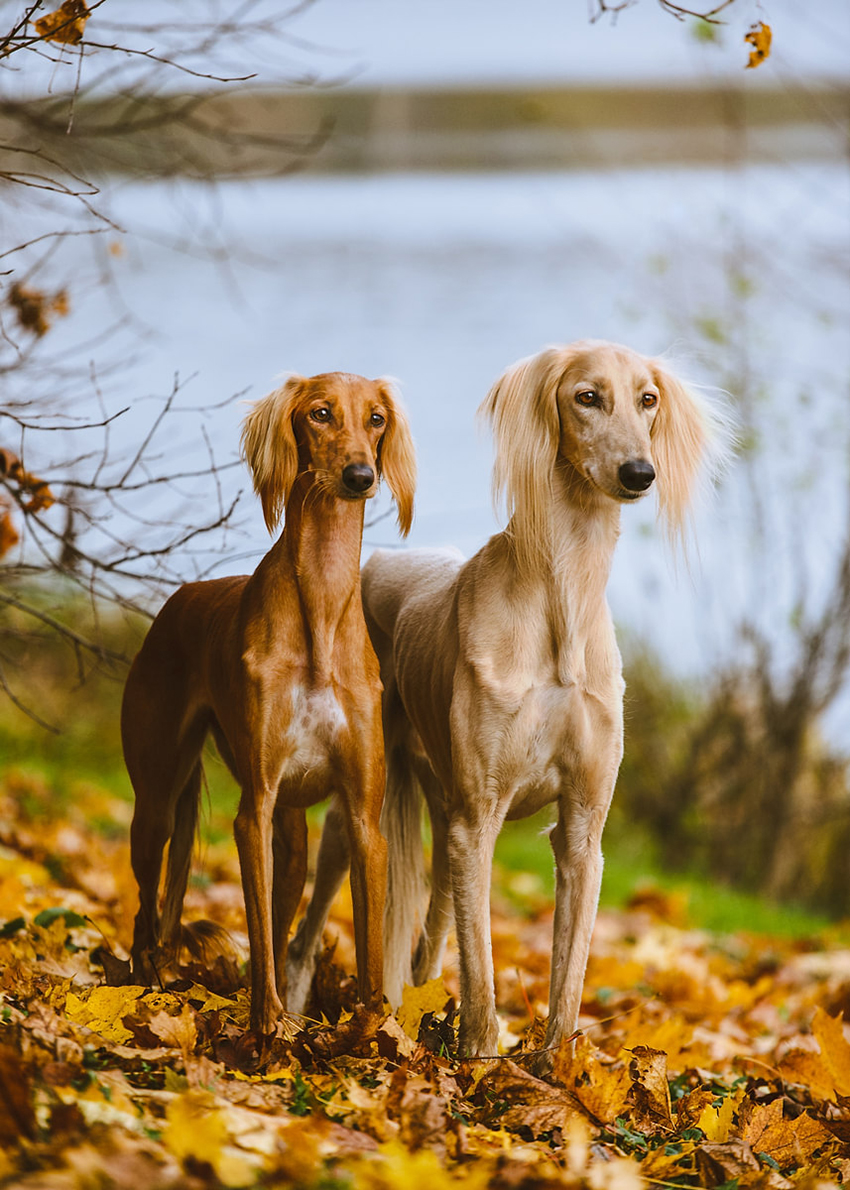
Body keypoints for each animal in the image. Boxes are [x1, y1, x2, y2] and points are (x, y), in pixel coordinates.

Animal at [121, 368, 416, 1032]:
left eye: (377, 418)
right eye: (320, 413)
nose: (360, 476)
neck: (322, 610)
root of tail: (181, 595)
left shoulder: (364, 821)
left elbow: (365, 954)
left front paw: (366, 1035)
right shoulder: (252, 809)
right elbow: (257, 937)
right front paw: (267, 1030)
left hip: (294, 838)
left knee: (276, 925)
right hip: (156, 805)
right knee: (148, 913)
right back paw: (144, 985)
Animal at [288, 342, 719, 1061]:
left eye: (648, 399)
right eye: (587, 397)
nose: (639, 474)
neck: (562, 602)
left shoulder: (583, 831)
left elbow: (567, 978)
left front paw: (553, 1071)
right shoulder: (478, 819)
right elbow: (483, 965)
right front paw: (484, 1061)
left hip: (437, 817)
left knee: (428, 944)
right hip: (365, 814)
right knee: (307, 936)